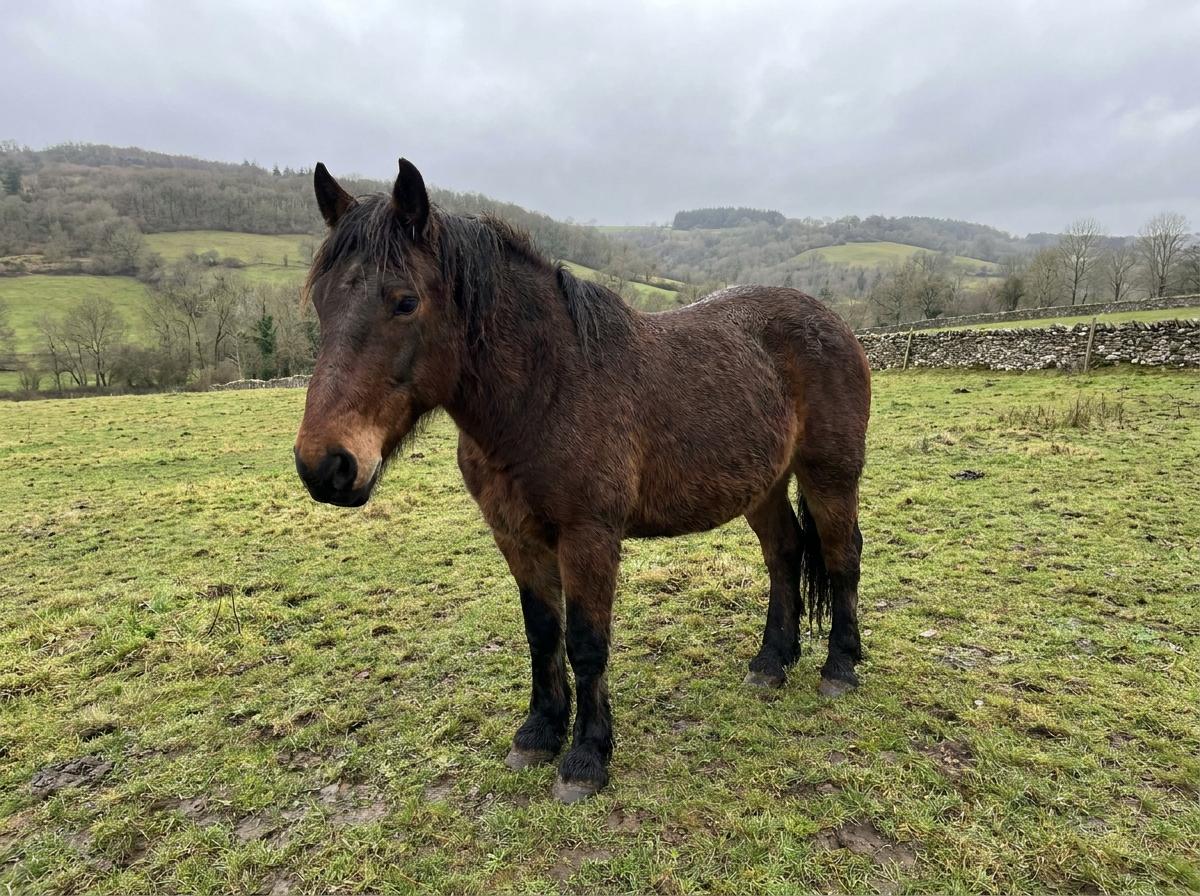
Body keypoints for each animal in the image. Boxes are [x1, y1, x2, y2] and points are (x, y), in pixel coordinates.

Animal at [293, 158, 871, 802]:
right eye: (321, 302)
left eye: (404, 302)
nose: (326, 466)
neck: (548, 390)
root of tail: (834, 323)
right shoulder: (517, 537)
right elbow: (542, 633)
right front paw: (538, 733)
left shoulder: (589, 537)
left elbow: (586, 643)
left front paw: (586, 758)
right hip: (763, 487)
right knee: (785, 554)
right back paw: (772, 663)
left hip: (830, 477)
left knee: (842, 555)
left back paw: (839, 668)